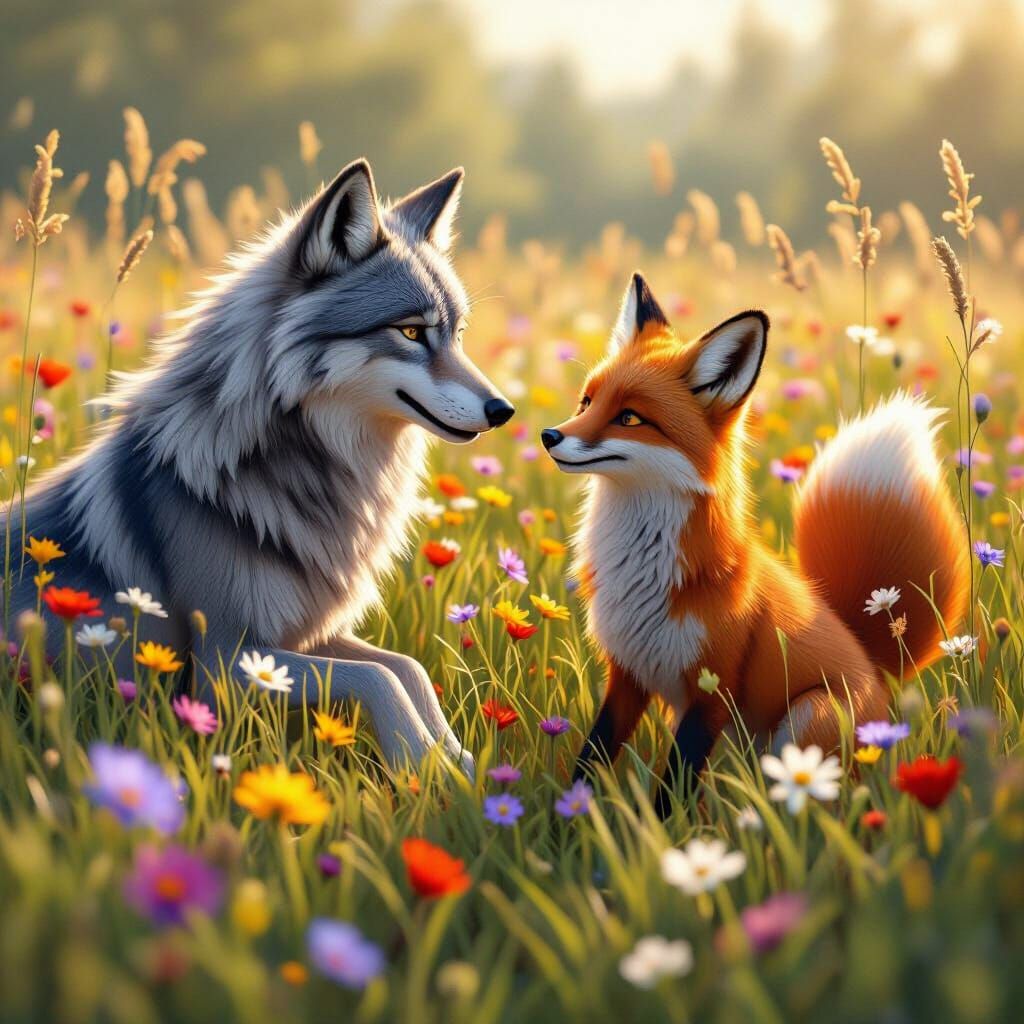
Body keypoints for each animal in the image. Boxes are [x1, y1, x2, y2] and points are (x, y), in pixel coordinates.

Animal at [3, 159, 515, 776]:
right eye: (412, 331)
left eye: (458, 335)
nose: (505, 411)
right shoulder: (226, 660)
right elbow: (380, 678)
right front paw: (420, 765)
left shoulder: (302, 635)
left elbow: (406, 668)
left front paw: (461, 766)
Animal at [541, 272, 969, 803]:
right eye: (587, 401)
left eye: (630, 418)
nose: (548, 436)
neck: (645, 573)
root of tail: (875, 666)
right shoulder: (626, 676)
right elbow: (591, 758)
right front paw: (568, 815)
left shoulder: (713, 690)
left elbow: (671, 790)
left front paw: (659, 827)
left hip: (807, 718)